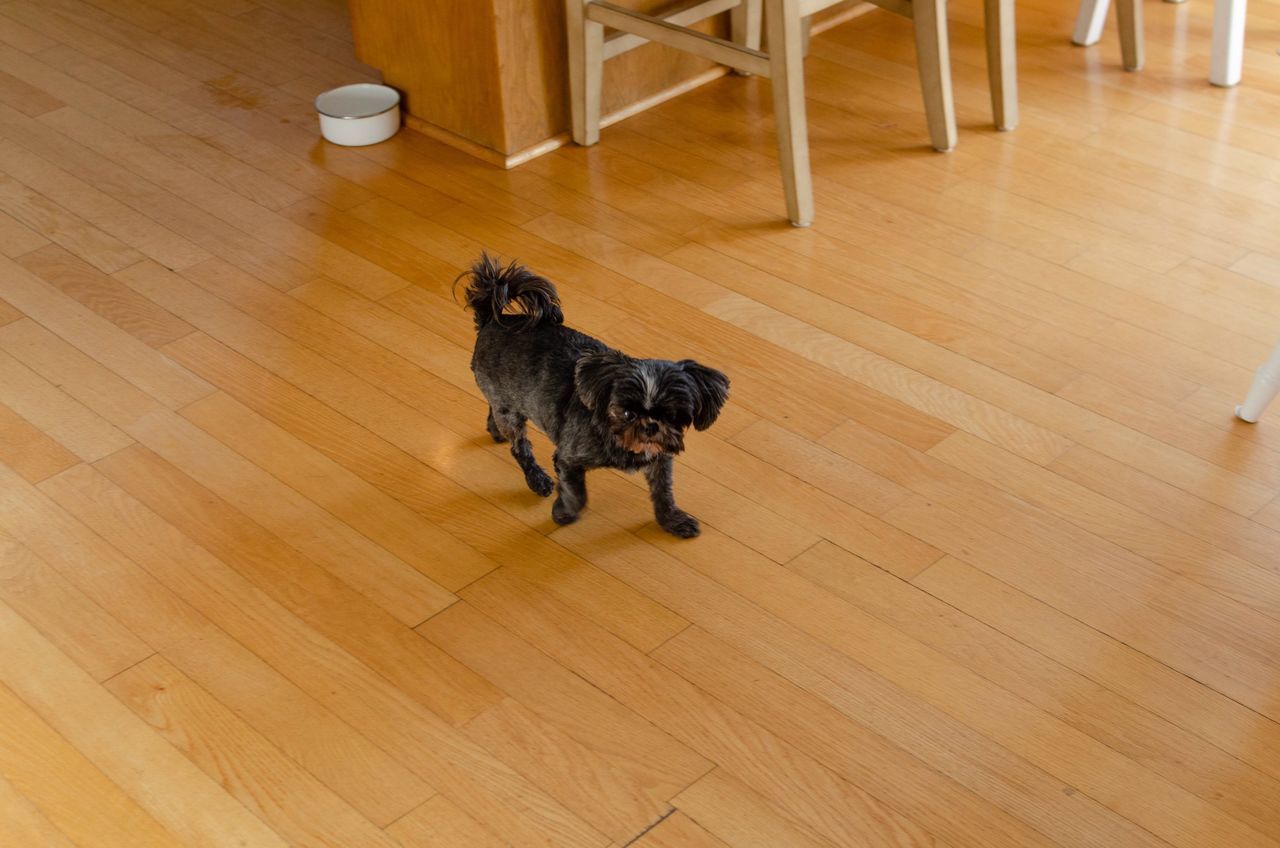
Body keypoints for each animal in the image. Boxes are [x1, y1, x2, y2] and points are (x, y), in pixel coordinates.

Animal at [460, 256, 727, 540]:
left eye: (672, 415)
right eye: (626, 412)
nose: (650, 426)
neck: (616, 436)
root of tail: (491, 319)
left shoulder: (659, 459)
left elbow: (663, 493)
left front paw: (673, 521)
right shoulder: (568, 458)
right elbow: (577, 494)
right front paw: (563, 513)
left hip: (505, 401)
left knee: (494, 413)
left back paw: (495, 432)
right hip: (510, 413)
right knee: (520, 446)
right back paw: (537, 479)